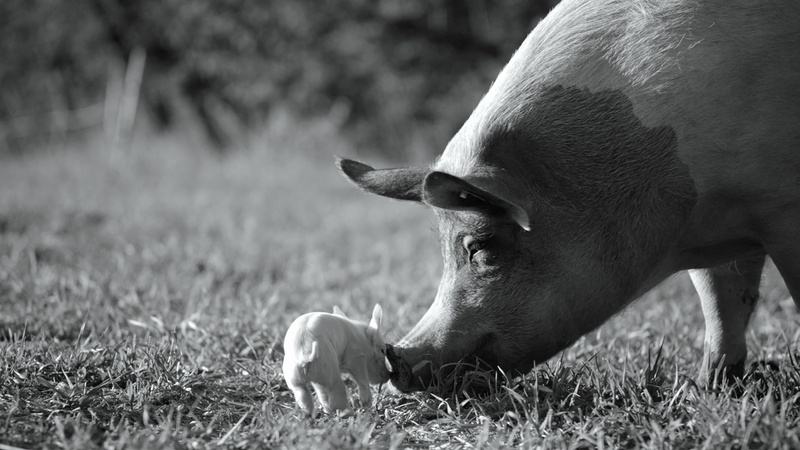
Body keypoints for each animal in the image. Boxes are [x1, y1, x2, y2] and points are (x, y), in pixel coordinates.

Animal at [336, 0, 800, 392]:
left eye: (481, 248)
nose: (397, 362)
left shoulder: (780, 210)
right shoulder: (719, 232)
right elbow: (721, 303)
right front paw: (710, 388)